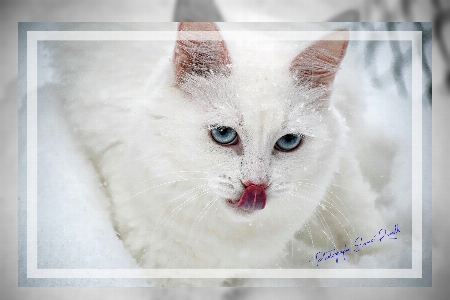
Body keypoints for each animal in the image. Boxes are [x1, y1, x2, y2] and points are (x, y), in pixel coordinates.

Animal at [47, 21, 406, 286]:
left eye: (289, 141)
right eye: (223, 135)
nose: (256, 186)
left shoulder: (340, 174)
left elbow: (361, 222)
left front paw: (384, 263)